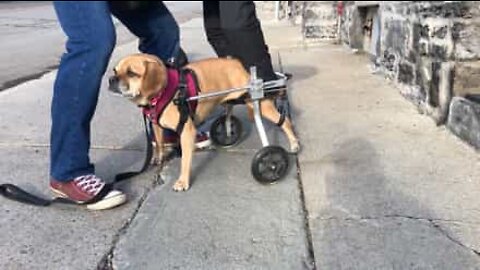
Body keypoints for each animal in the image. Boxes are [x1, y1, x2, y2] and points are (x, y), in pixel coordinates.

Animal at [109, 53, 300, 191]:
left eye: (131, 73)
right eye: (115, 71)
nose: (111, 80)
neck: (163, 92)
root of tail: (235, 62)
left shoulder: (186, 132)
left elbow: (185, 160)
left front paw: (183, 181)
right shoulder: (156, 126)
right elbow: (161, 146)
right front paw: (159, 158)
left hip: (260, 105)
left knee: (285, 121)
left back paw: (293, 144)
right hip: (229, 100)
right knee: (228, 117)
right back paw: (228, 133)